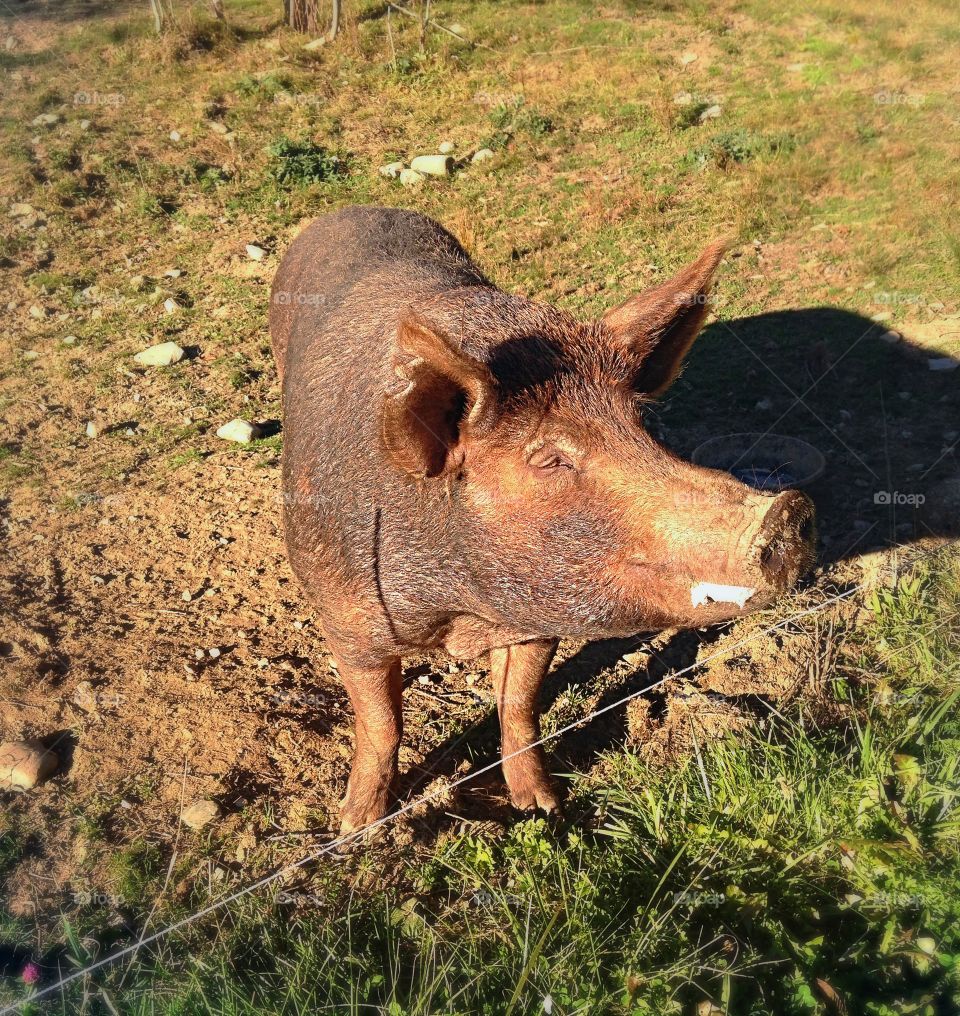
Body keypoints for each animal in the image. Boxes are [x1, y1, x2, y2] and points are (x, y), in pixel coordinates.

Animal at [270, 206, 816, 833]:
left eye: (641, 427)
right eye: (549, 458)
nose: (787, 510)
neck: (464, 613)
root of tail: (348, 210)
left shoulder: (535, 618)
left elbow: (520, 705)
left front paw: (543, 807)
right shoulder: (347, 621)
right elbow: (382, 723)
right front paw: (358, 827)